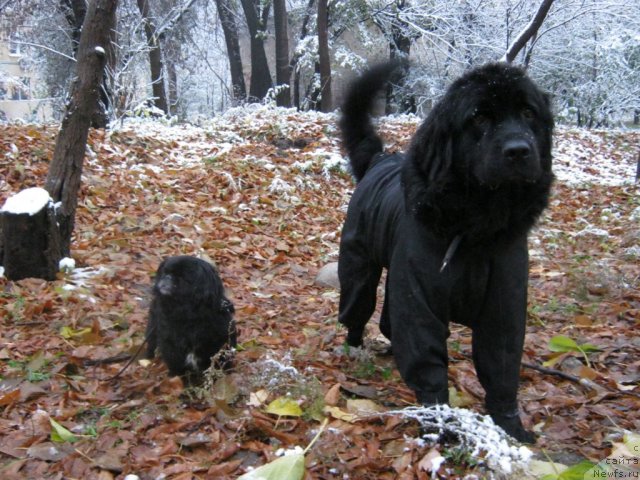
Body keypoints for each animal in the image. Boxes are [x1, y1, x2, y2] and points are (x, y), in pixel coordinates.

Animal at [338, 62, 552, 442]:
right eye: (479, 118)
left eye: (529, 113)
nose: (518, 150)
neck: (476, 226)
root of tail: (379, 159)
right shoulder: (419, 298)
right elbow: (427, 361)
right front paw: (440, 424)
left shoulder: (504, 307)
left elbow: (501, 366)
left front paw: (511, 428)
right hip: (358, 267)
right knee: (357, 310)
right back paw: (355, 348)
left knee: (388, 321)